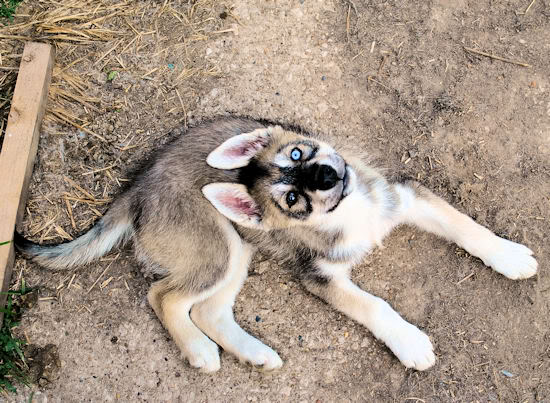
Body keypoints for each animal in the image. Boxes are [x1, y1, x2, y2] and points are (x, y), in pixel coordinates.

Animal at [16, 117, 540, 372]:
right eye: (291, 198)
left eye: (298, 151)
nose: (328, 174)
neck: (350, 211)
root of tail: (136, 187)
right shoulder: (321, 276)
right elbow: (374, 306)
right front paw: (409, 343)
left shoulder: (405, 197)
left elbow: (466, 226)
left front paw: (510, 255)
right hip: (217, 249)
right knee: (163, 295)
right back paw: (200, 352)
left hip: (239, 251)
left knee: (209, 310)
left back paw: (254, 353)